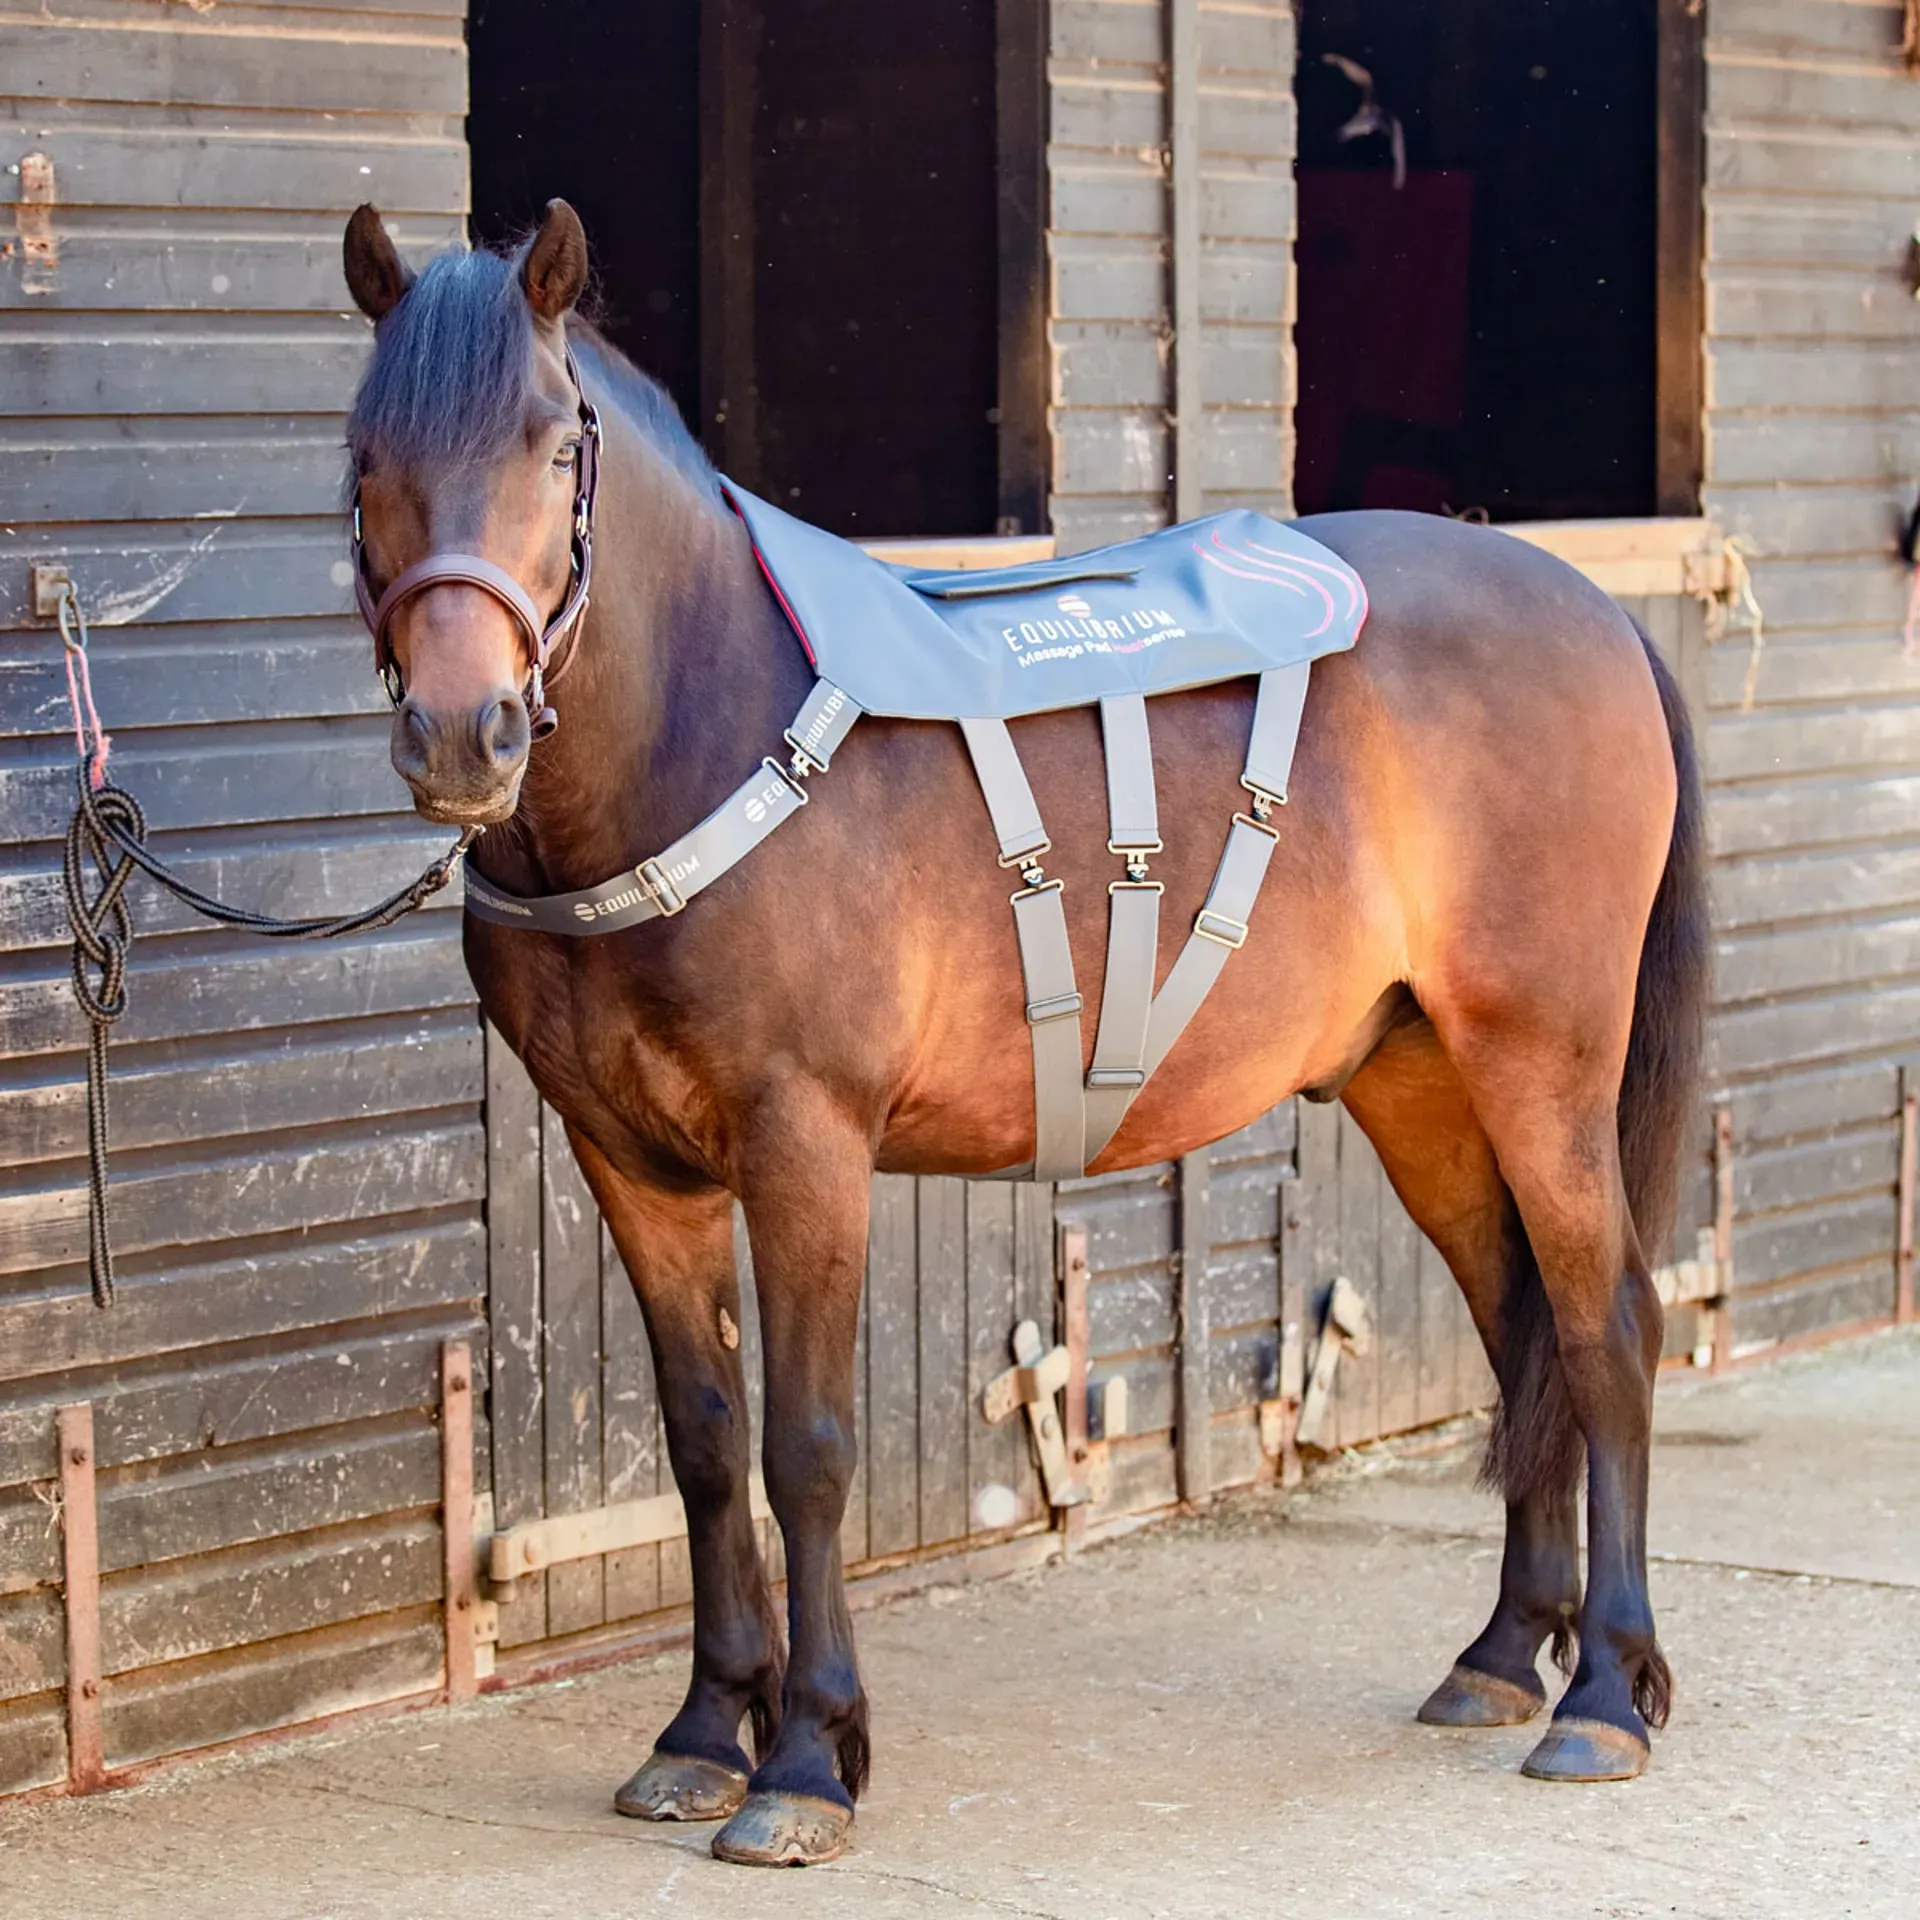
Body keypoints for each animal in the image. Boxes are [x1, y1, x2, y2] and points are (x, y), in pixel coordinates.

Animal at [340, 200, 1708, 1867]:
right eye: (365, 456)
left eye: (552, 445)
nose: (462, 737)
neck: (709, 730)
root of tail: (1598, 614)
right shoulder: (631, 1163)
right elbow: (707, 1440)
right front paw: (703, 1731)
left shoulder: (806, 1146)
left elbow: (808, 1447)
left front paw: (808, 1759)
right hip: (1420, 1079)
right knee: (1523, 1331)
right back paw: (1509, 1652)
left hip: (1543, 1063)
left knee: (1608, 1323)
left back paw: (1606, 1696)